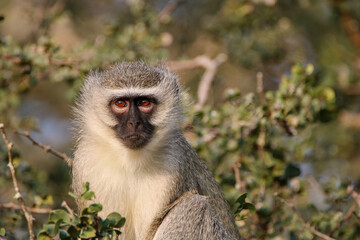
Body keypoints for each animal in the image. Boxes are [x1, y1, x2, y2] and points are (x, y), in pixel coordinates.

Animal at [71, 62, 240, 240]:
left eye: (144, 103)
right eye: (121, 103)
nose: (134, 122)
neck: (130, 161)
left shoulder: (174, 160)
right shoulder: (85, 164)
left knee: (194, 205)